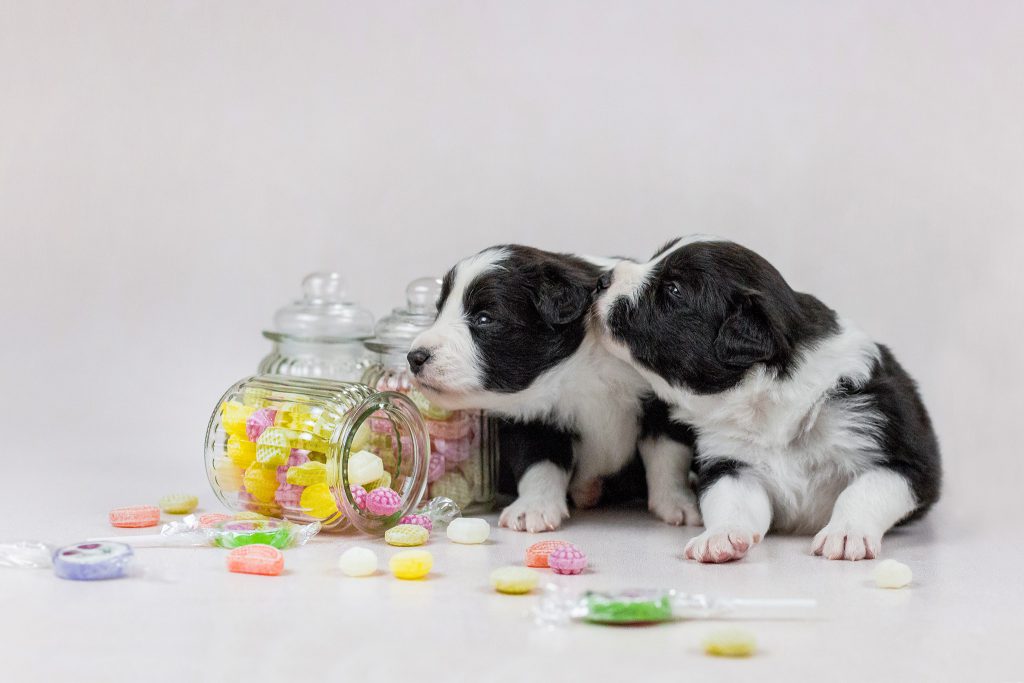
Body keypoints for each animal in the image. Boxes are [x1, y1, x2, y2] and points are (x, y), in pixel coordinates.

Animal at [403, 245, 700, 532]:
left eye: (484, 319)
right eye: (439, 311)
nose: (414, 357)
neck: (578, 371)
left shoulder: (659, 405)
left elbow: (667, 456)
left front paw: (678, 504)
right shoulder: (530, 420)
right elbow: (538, 463)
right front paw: (532, 510)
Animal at [598, 237, 937, 565]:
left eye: (673, 289)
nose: (602, 279)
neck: (769, 405)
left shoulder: (899, 454)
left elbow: (862, 491)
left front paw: (846, 533)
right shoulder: (732, 462)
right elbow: (730, 501)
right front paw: (720, 537)